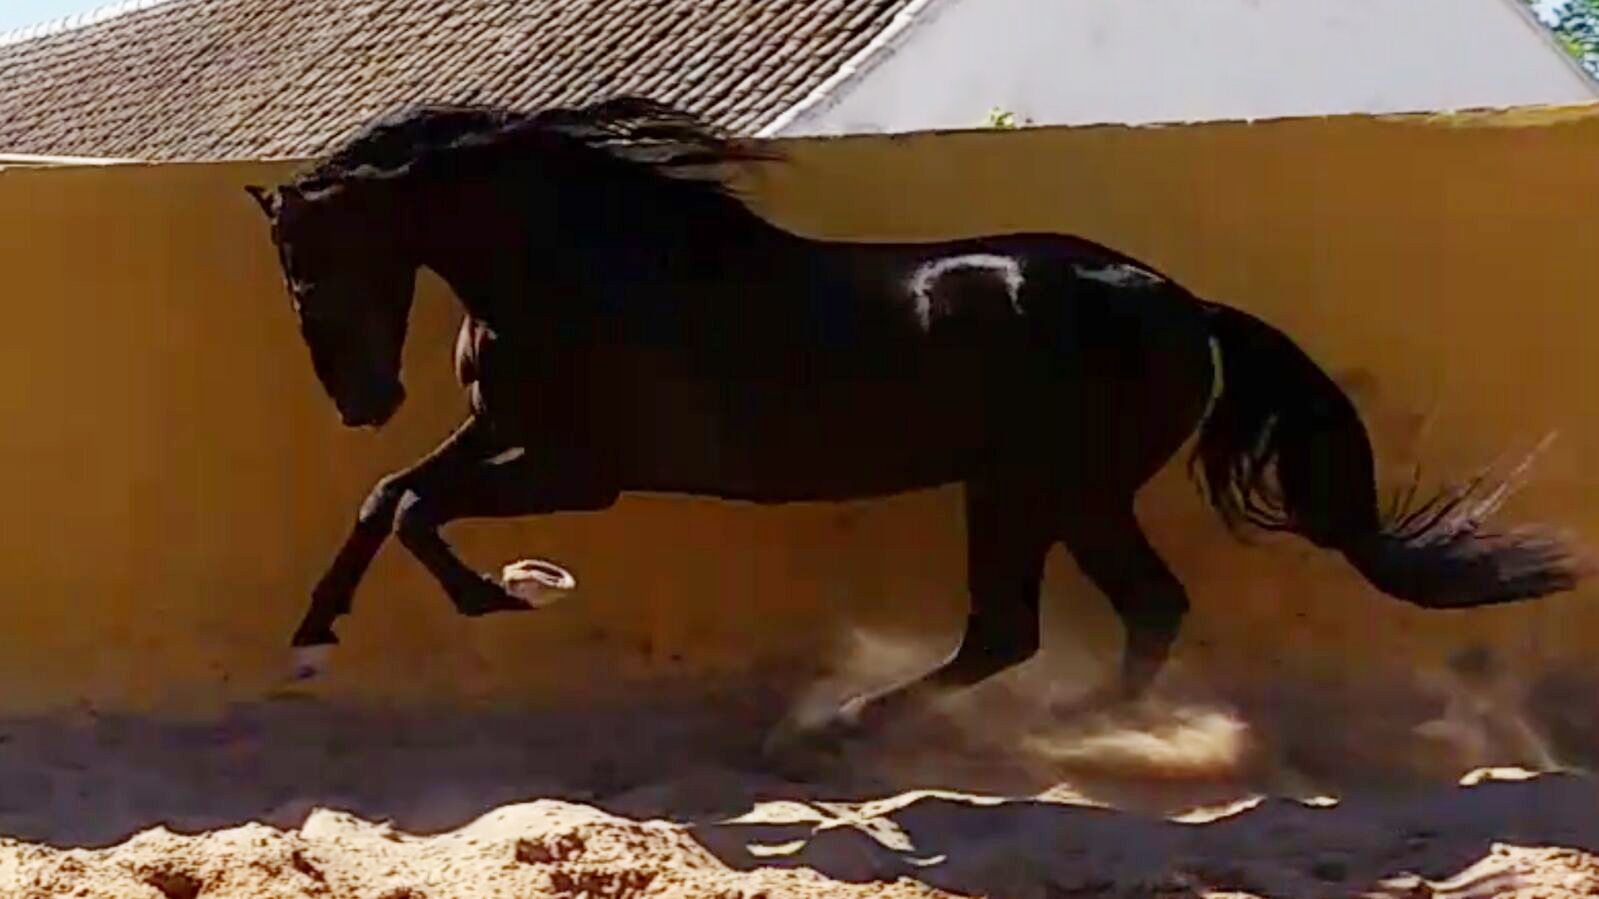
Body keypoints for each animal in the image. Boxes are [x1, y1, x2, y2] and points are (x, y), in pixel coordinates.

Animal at [246, 94, 1586, 732]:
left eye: (312, 273)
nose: (363, 399)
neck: (591, 265)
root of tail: (1186, 305)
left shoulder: (585, 466)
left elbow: (414, 507)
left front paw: (498, 595)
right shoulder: (507, 435)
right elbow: (388, 496)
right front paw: (313, 632)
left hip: (1037, 485)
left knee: (1027, 626)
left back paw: (858, 731)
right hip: (1059, 490)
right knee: (1118, 614)